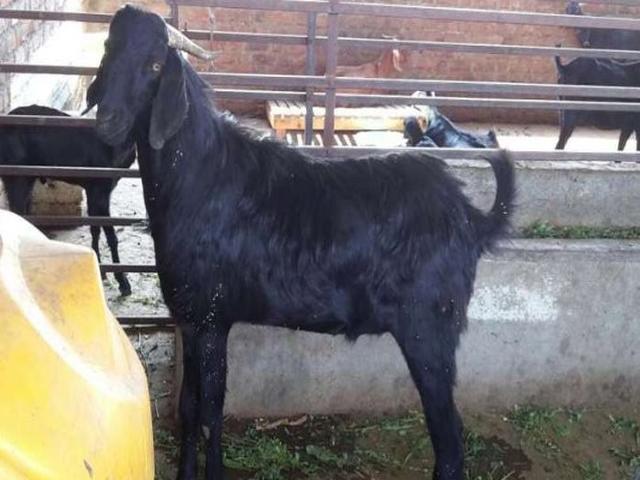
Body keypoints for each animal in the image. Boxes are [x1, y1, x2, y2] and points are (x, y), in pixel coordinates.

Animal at [0, 104, 135, 295]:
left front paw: (100, 270)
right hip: (16, 177)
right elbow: (110, 234)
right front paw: (123, 282)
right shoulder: (100, 188)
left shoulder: (96, 190)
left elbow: (95, 228)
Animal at [86, 6, 515, 480]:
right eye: (107, 48)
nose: (106, 121)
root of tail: (470, 217)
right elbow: (188, 408)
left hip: (429, 327)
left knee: (450, 437)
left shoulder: (214, 317)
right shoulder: (190, 319)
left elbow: (212, 411)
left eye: (154, 65)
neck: (198, 174)